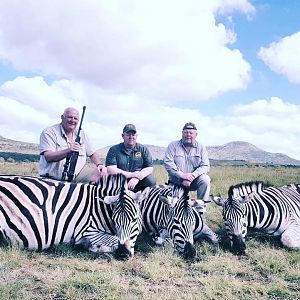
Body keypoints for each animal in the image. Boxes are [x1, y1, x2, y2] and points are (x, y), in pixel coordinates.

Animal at [0, 172, 146, 258]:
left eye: (134, 220)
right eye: (114, 220)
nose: (123, 254)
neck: (99, 208)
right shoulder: (86, 230)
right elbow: (114, 240)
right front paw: (90, 247)